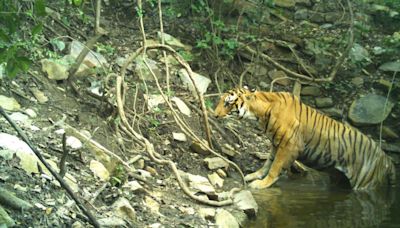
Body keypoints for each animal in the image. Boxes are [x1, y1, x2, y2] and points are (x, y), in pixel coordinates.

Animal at [214, 87, 396, 191]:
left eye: (228, 103)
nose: (214, 115)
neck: (260, 114)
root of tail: (387, 158)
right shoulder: (276, 143)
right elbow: (268, 163)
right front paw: (254, 176)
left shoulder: (290, 145)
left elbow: (275, 167)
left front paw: (261, 184)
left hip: (365, 183)